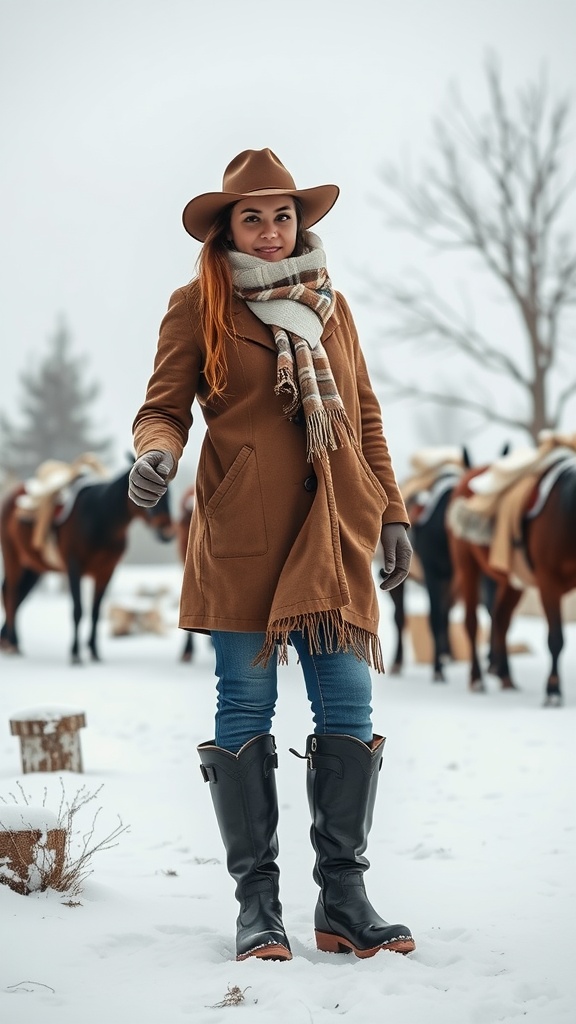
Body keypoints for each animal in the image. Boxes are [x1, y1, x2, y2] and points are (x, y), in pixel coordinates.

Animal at [1, 466, 174, 663]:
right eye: (149, 489)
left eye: (169, 494)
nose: (167, 532)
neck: (98, 517)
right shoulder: (74, 568)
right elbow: (78, 610)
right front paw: (75, 652)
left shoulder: (106, 572)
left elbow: (95, 612)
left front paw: (93, 650)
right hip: (12, 557)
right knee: (10, 595)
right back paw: (11, 643)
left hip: (34, 567)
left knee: (17, 597)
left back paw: (11, 642)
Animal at [446, 462, 573, 708]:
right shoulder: (548, 582)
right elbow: (556, 638)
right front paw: (553, 690)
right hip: (466, 566)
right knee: (472, 622)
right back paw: (477, 679)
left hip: (513, 582)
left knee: (501, 618)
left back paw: (506, 677)